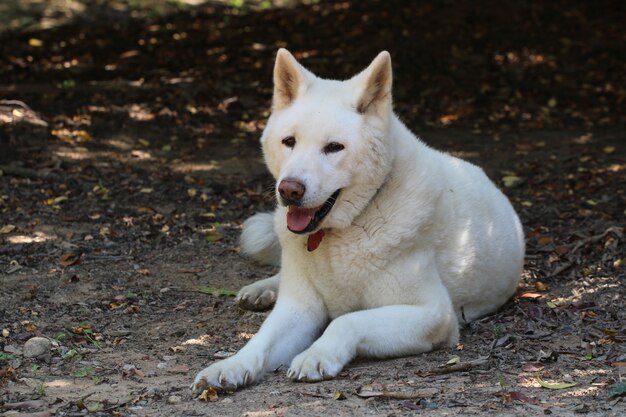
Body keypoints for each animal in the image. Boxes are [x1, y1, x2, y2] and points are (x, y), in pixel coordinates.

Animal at [190, 49, 520, 394]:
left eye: (334, 147)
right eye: (289, 141)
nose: (289, 190)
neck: (343, 230)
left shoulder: (433, 313)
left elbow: (345, 320)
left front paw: (316, 354)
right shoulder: (299, 309)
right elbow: (261, 340)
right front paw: (231, 365)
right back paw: (261, 290)